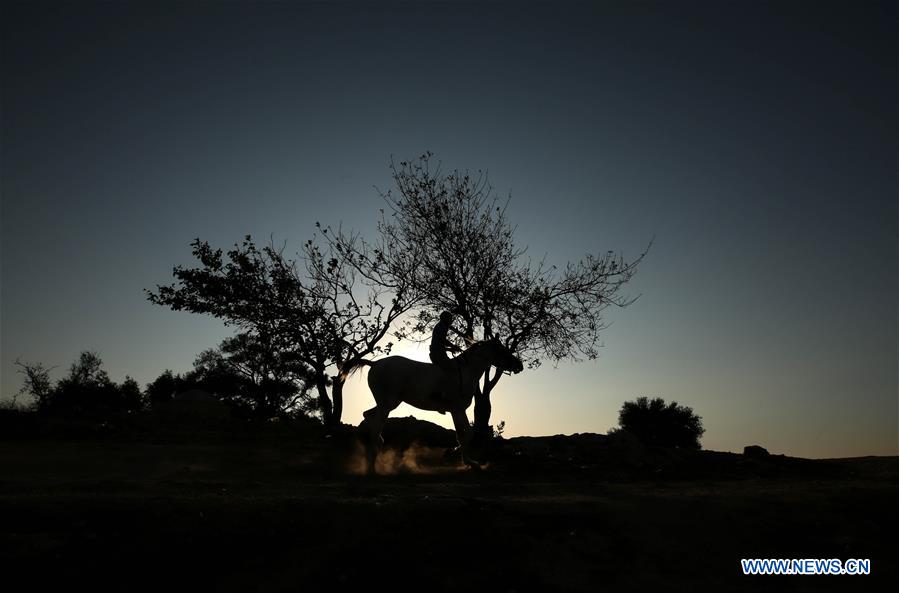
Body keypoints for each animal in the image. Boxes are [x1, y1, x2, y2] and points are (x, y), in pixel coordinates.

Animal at [344, 336, 528, 470]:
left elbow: (462, 434)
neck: (466, 372)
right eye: (502, 350)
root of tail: (374, 363)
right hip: (387, 403)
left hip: (390, 403)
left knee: (368, 416)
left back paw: (378, 453)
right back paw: (374, 462)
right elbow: (467, 434)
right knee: (376, 425)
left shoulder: (457, 410)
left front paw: (468, 461)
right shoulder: (457, 409)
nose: (519, 365)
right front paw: (457, 456)